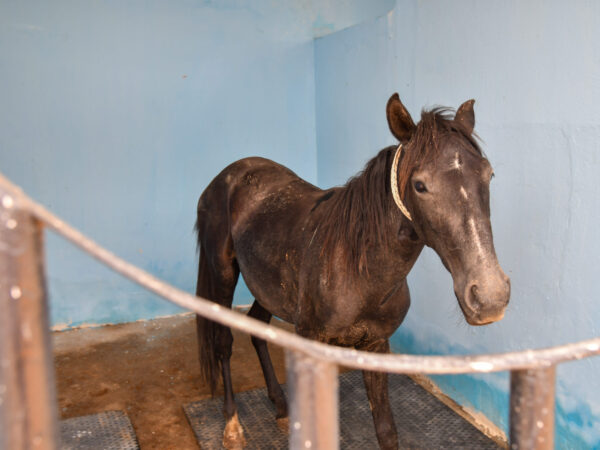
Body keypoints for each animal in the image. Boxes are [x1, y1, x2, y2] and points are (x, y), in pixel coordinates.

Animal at [195, 93, 508, 448]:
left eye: (488, 175)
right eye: (420, 185)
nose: (490, 296)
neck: (358, 269)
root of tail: (231, 173)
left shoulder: (376, 345)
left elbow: (386, 430)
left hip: (268, 287)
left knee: (257, 327)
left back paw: (281, 407)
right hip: (222, 274)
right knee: (223, 342)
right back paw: (232, 425)